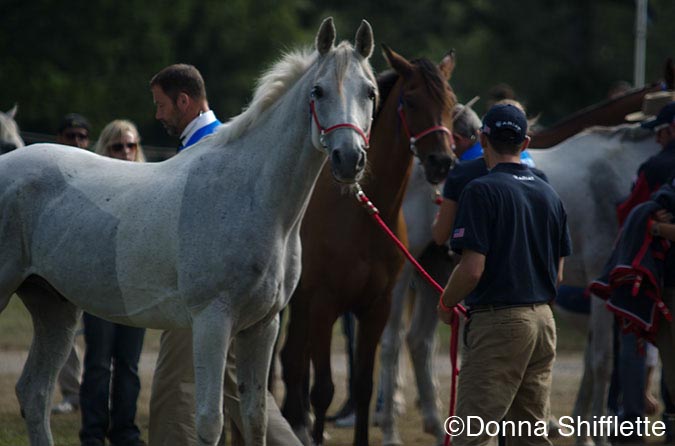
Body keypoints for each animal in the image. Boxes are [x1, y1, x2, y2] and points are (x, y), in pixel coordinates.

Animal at [0, 18, 380, 446]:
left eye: (370, 92)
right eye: (318, 91)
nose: (349, 159)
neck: (252, 196)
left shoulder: (263, 327)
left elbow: (256, 418)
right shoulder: (213, 322)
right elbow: (210, 421)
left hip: (54, 308)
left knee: (34, 393)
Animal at [280, 46, 460, 446]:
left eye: (451, 103)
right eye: (411, 100)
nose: (442, 161)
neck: (360, 213)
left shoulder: (376, 307)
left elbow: (363, 385)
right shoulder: (324, 305)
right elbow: (325, 390)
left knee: (292, 359)